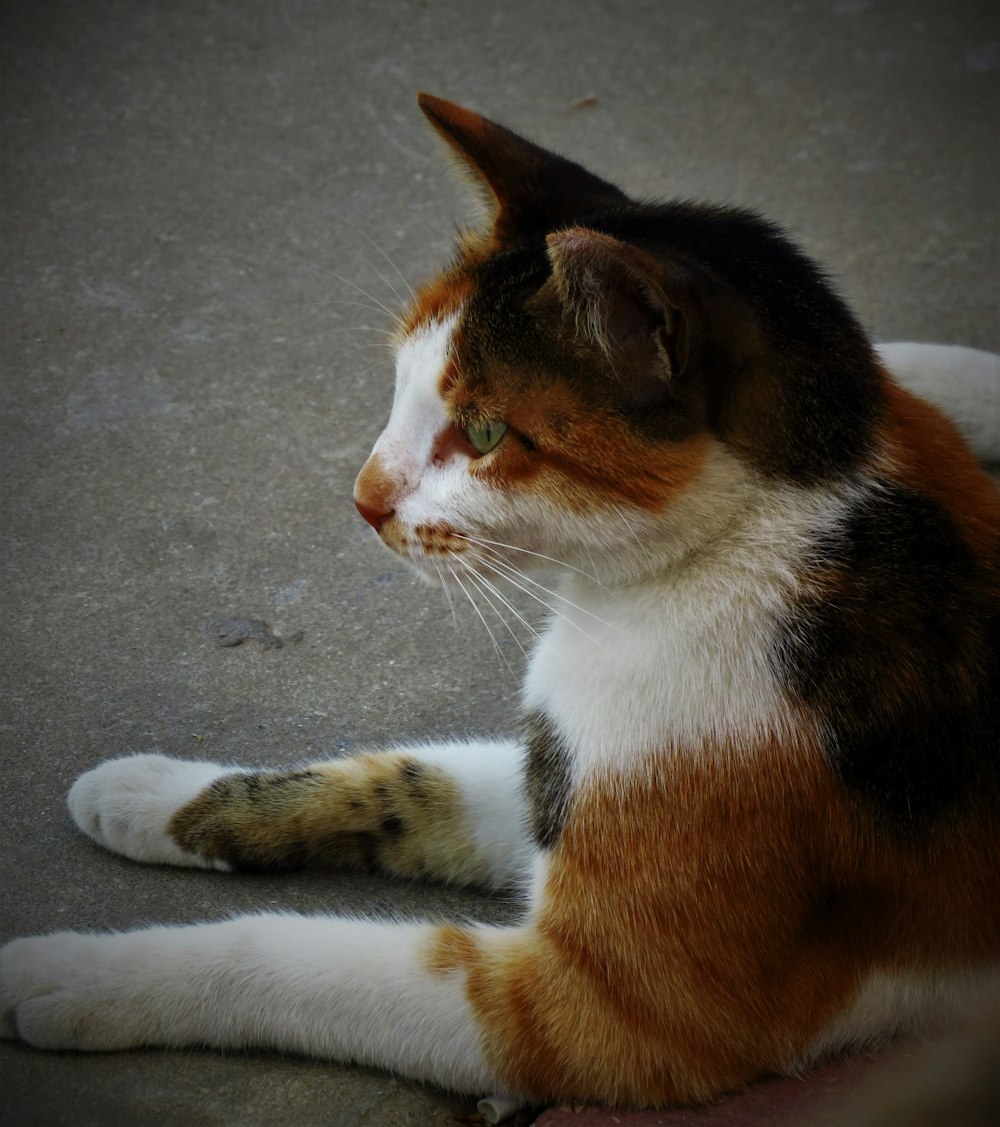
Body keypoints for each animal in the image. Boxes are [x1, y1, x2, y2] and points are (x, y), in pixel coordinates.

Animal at [1, 94, 1000, 1108]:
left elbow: (290, 952)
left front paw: (75, 974)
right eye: (399, 383)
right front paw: (144, 790)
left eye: (483, 433)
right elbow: (405, 779)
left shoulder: (616, 1013)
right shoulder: (559, 770)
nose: (363, 498)